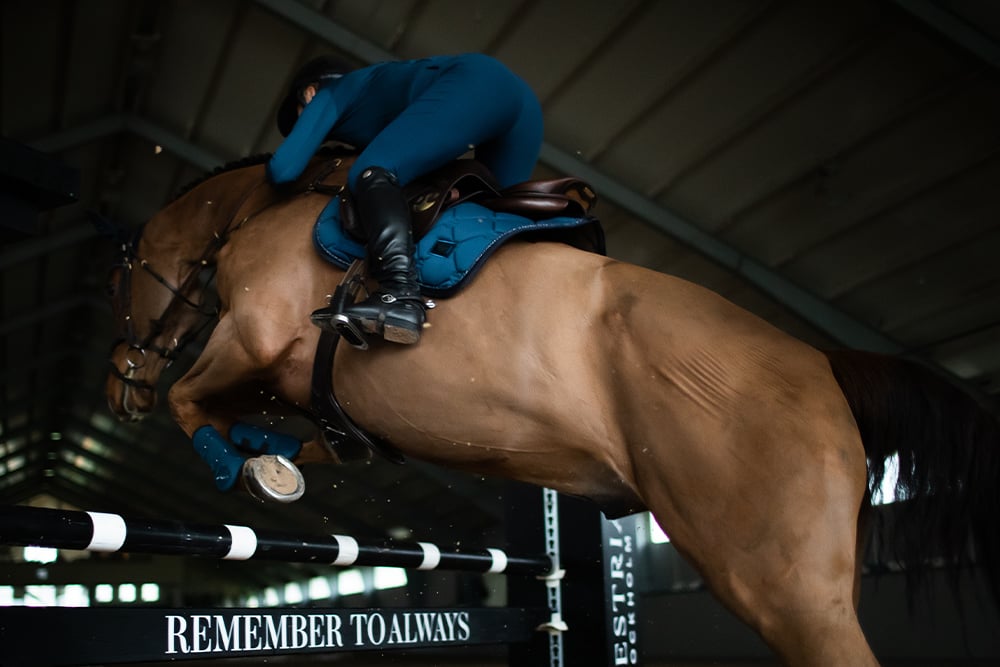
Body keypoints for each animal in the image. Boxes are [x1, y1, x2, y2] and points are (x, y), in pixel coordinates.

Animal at [103, 153, 1000, 667]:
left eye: (120, 279)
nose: (119, 388)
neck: (260, 210)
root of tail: (824, 360)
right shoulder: (319, 398)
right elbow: (295, 433)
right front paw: (268, 458)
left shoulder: (248, 336)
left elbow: (192, 399)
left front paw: (242, 466)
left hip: (783, 588)